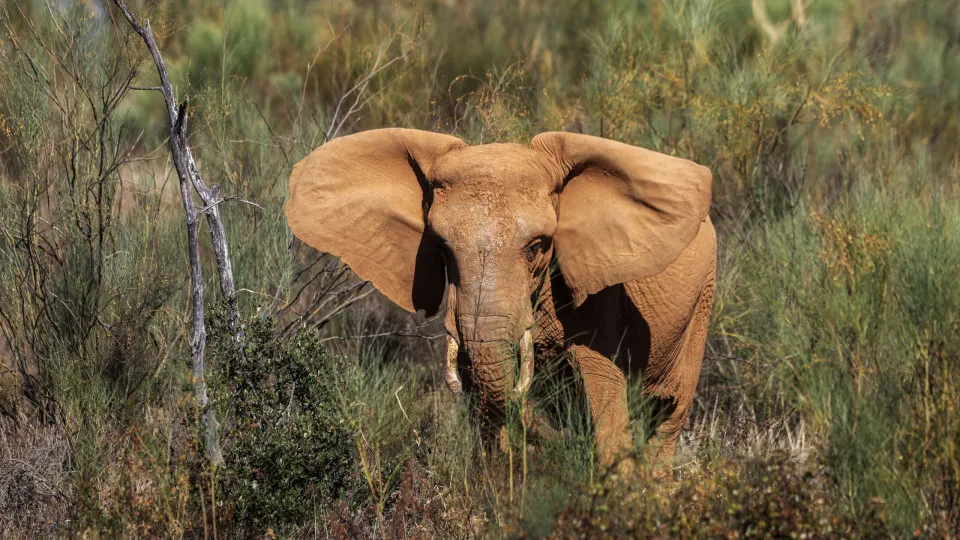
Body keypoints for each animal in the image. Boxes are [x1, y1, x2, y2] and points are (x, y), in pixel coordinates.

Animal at [285, 128, 716, 476]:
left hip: (702, 303)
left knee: (668, 413)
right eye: (440, 248)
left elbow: (604, 394)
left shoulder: (600, 296)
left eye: (538, 246)